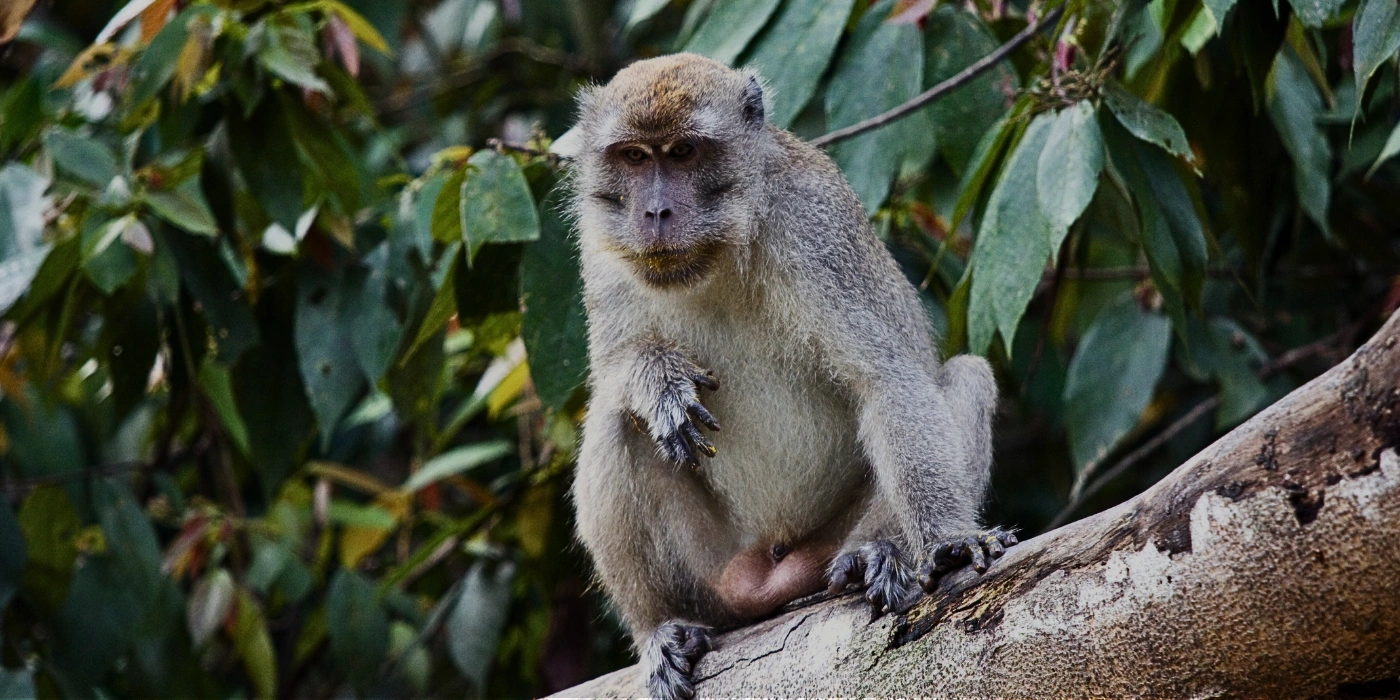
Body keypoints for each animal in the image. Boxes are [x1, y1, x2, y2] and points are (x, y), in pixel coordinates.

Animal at [566, 53, 1017, 700]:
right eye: (634, 157)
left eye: (682, 153)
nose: (653, 213)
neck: (722, 247)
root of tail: (770, 572)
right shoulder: (601, 249)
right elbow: (611, 377)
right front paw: (658, 380)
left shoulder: (813, 223)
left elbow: (888, 381)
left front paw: (949, 540)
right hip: (716, 571)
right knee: (616, 423)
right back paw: (662, 627)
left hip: (822, 542)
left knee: (966, 377)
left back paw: (875, 553)